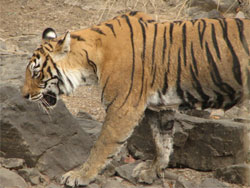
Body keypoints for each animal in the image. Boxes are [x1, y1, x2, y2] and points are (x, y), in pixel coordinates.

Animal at [22, 11, 250, 187]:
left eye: (36, 73)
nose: (24, 95)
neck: (90, 62)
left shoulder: (123, 108)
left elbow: (102, 145)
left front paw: (79, 175)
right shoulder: (161, 107)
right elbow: (162, 143)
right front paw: (152, 171)